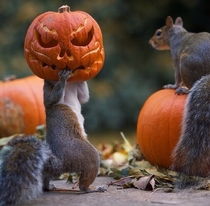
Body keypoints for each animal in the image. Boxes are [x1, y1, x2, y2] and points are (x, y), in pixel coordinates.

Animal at [0, 69, 106, 206]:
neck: (70, 85)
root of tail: (61, 162)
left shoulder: (78, 91)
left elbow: (84, 97)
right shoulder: (47, 93)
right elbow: (52, 97)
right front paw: (62, 77)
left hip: (54, 170)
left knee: (46, 178)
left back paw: (49, 186)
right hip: (87, 155)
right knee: (84, 185)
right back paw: (93, 188)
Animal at [149, 15, 210, 187]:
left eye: (158, 33)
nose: (150, 42)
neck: (178, 34)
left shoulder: (176, 58)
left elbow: (176, 76)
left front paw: (173, 85)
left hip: (186, 65)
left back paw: (184, 90)